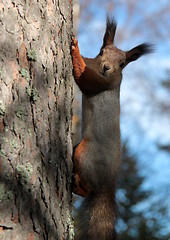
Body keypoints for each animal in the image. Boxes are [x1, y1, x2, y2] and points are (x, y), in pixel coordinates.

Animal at [71, 15, 153, 239]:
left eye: (123, 63)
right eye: (101, 52)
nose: (106, 67)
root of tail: (108, 182)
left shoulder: (102, 83)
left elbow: (84, 78)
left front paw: (75, 49)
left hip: (86, 153)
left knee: (89, 187)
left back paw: (78, 185)